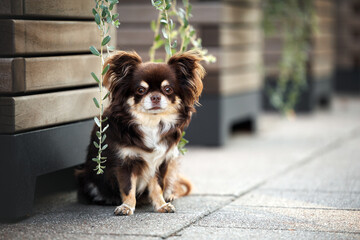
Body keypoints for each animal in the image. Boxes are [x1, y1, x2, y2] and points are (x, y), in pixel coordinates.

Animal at [76, 50, 205, 216]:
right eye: (141, 90)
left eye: (168, 89)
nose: (155, 96)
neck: (151, 123)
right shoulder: (125, 162)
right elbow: (128, 187)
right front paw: (127, 206)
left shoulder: (160, 162)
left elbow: (158, 186)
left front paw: (161, 205)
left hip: (172, 166)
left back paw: (169, 194)